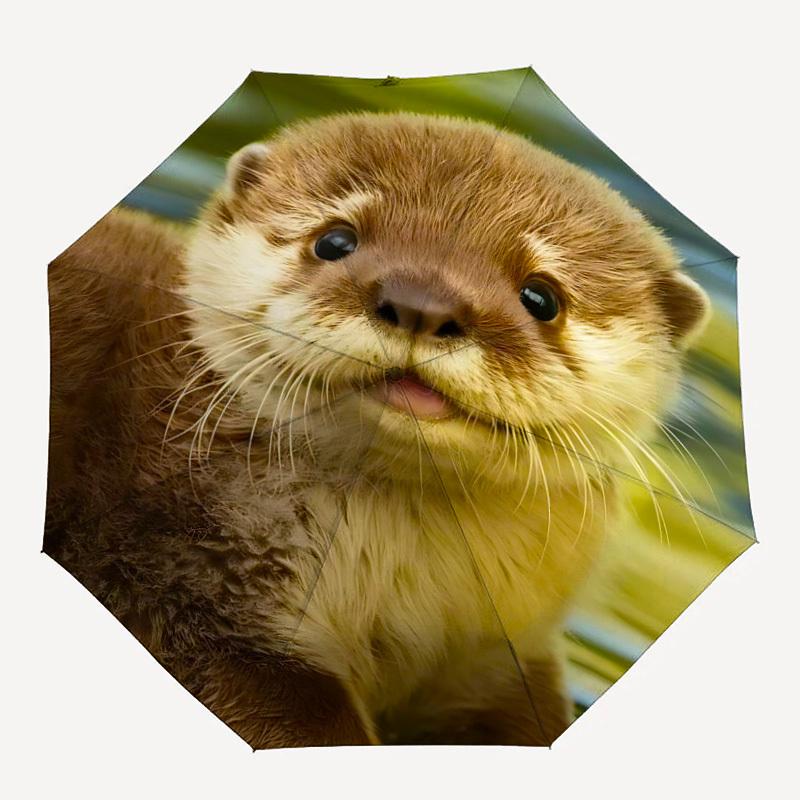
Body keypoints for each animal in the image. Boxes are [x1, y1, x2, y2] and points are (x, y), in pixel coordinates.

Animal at [45, 112, 709, 747]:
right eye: (335, 239)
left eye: (541, 296)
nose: (422, 304)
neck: (394, 590)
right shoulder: (182, 587)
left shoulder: (496, 653)